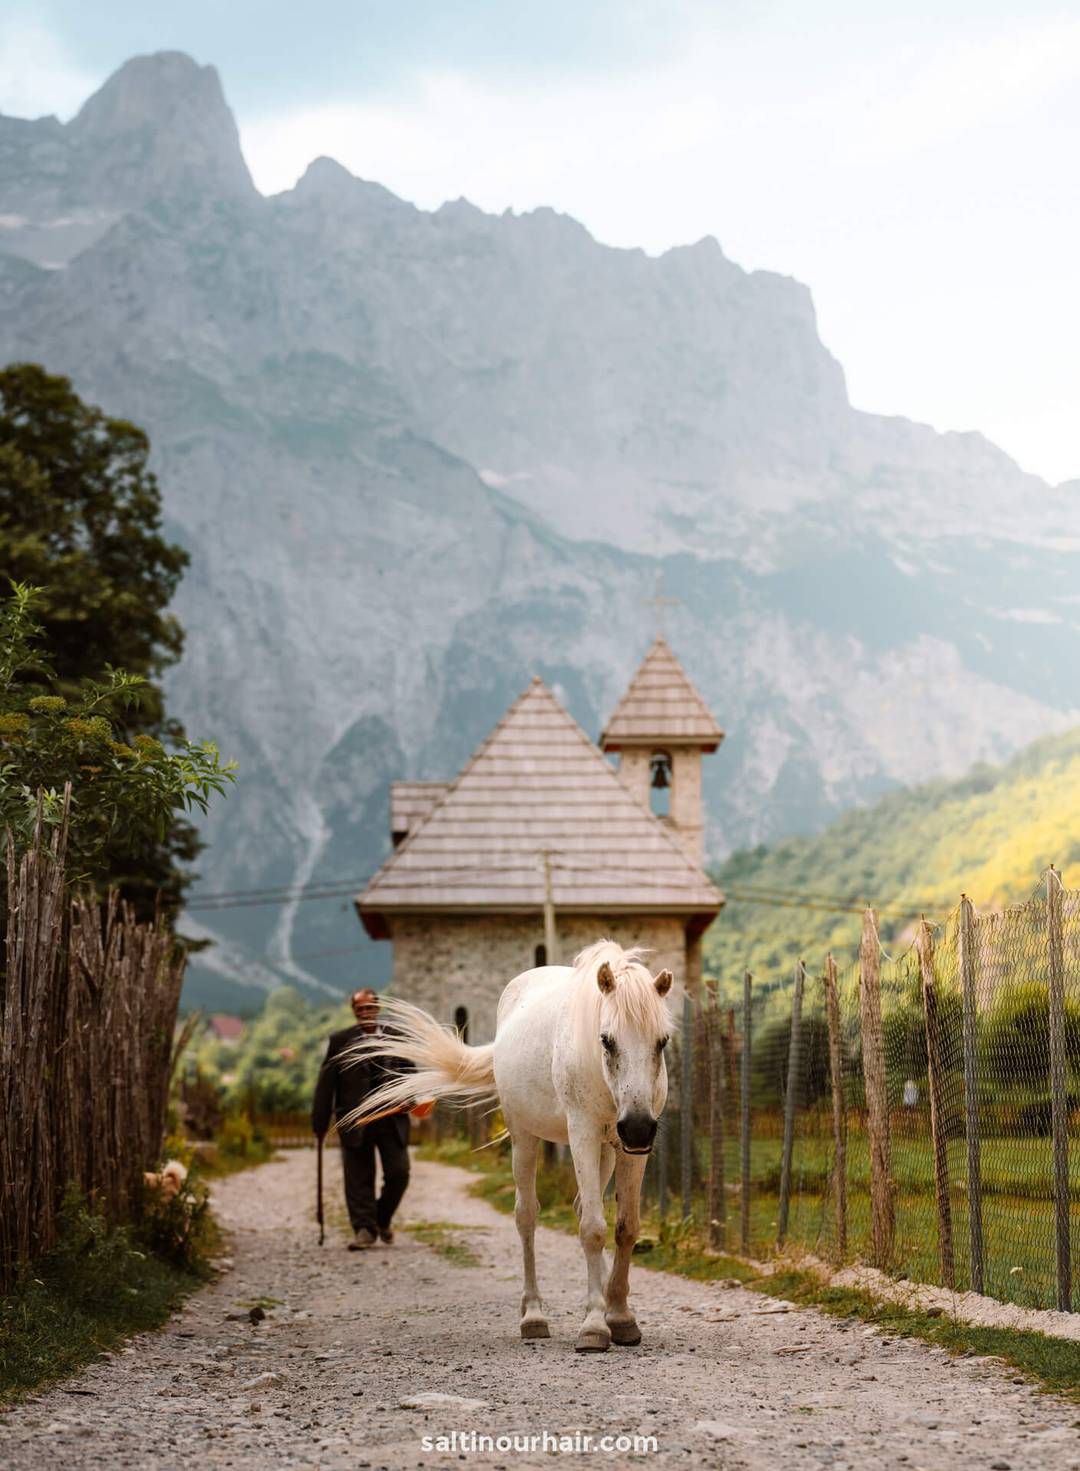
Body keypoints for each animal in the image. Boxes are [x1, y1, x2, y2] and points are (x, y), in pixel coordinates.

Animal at [342, 939, 674, 1352]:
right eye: (606, 1040)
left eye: (662, 1041)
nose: (639, 1127)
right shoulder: (582, 1131)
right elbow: (594, 1229)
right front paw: (594, 1327)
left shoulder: (628, 1149)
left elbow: (626, 1227)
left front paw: (620, 1318)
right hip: (525, 1137)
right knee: (527, 1216)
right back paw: (533, 1316)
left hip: (607, 1149)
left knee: (583, 1208)